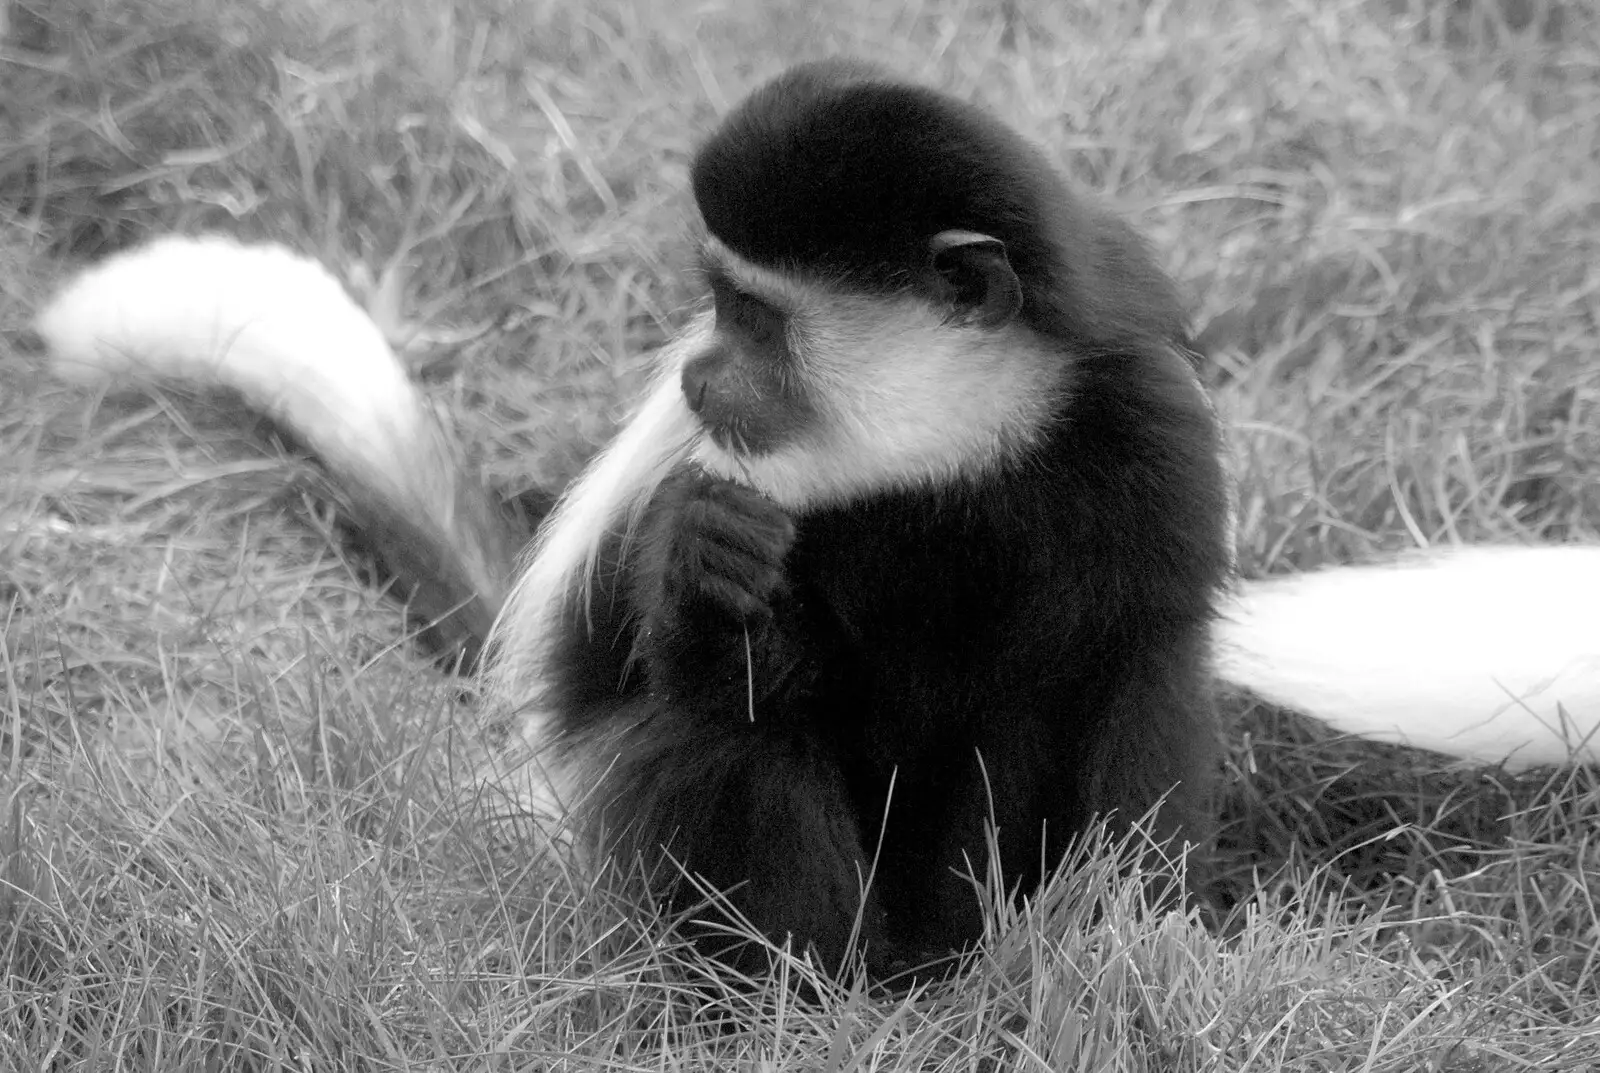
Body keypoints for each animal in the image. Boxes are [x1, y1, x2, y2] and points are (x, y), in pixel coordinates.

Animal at [34, 58, 1600, 985]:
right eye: (715, 303)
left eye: (753, 313)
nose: (695, 371)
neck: (944, 444)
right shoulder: (720, 477)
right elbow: (696, 663)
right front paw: (703, 579)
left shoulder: (1142, 432)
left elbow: (1138, 675)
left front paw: (1125, 948)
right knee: (711, 734)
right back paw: (808, 997)